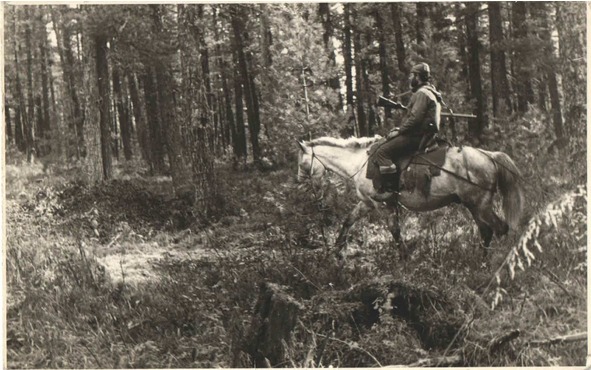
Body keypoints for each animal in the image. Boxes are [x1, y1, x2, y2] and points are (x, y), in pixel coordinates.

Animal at [298, 136, 524, 260]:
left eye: (302, 164)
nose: (300, 186)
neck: (360, 163)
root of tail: (489, 155)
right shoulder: (367, 203)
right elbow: (348, 221)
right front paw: (336, 252)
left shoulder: (383, 204)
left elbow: (395, 231)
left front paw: (405, 258)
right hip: (474, 206)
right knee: (487, 231)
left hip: (479, 204)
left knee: (499, 228)